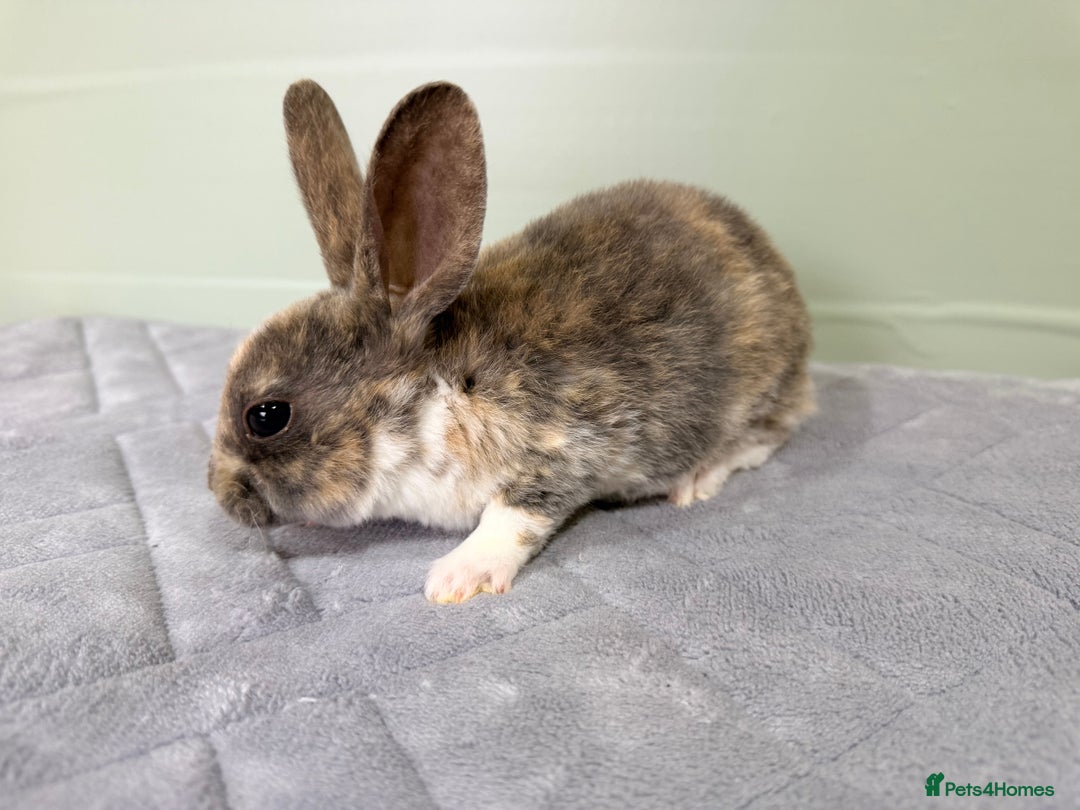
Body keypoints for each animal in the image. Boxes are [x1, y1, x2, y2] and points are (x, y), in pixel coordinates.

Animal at [209, 79, 815, 604]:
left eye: (266, 416)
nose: (221, 495)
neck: (437, 390)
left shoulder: (572, 443)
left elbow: (515, 515)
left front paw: (458, 577)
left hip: (760, 388)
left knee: (770, 434)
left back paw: (698, 477)